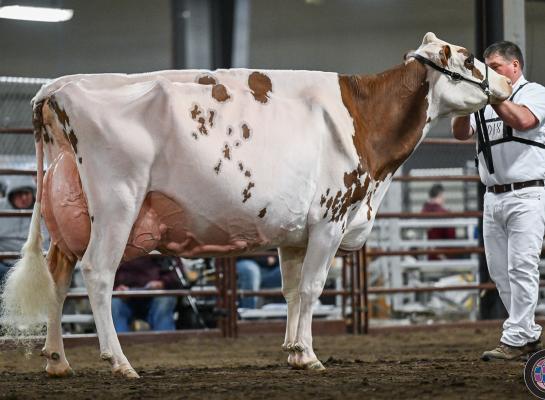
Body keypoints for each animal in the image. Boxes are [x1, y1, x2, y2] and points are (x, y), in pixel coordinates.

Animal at [1, 32, 510, 378]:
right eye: (470, 59)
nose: (507, 81)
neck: (363, 119)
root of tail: (57, 88)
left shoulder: (294, 233)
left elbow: (291, 291)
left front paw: (292, 352)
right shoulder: (329, 220)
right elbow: (313, 290)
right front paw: (310, 355)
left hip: (70, 216)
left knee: (58, 276)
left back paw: (57, 360)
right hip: (116, 204)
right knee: (98, 275)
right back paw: (119, 361)